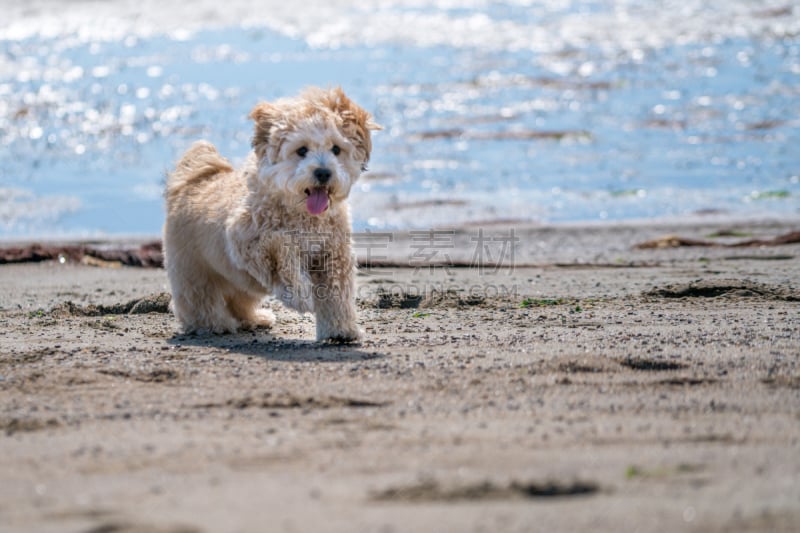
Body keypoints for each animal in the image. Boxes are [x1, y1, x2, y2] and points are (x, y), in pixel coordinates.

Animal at [162, 85, 382, 338]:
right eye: (302, 150)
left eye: (336, 149)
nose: (323, 172)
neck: (303, 214)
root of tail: (191, 182)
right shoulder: (247, 242)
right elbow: (279, 248)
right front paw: (300, 296)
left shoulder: (334, 255)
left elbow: (337, 295)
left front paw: (341, 329)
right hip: (193, 270)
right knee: (198, 301)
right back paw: (215, 324)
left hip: (238, 282)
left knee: (239, 299)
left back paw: (254, 318)